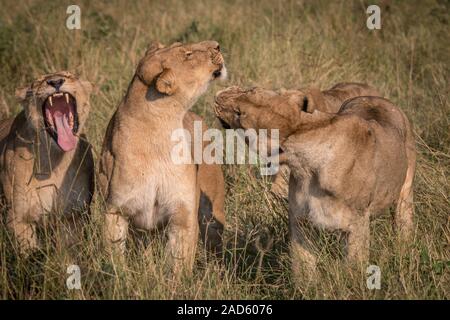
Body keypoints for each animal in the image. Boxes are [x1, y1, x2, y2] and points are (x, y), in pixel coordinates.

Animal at [0, 71, 94, 254]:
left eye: (69, 75)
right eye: (38, 82)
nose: (56, 82)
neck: (55, 162)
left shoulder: (71, 217)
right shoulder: (19, 218)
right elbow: (28, 256)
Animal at [97, 39, 225, 270]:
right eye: (187, 54)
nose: (217, 45)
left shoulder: (183, 214)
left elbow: (179, 264)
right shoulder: (116, 210)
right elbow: (114, 255)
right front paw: (118, 274)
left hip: (213, 213)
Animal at [216, 86, 416, 278]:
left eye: (239, 113)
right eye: (251, 89)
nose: (219, 96)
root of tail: (376, 97)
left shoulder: (357, 224)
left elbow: (354, 267)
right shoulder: (300, 221)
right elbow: (303, 268)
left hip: (404, 193)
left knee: (403, 221)